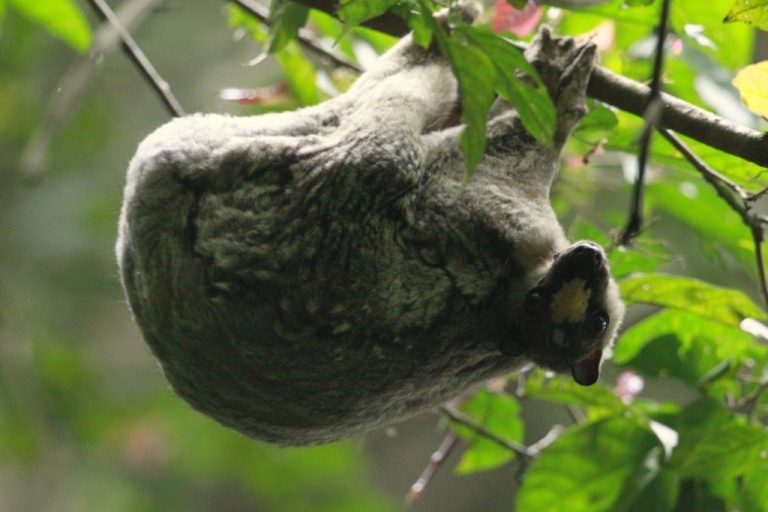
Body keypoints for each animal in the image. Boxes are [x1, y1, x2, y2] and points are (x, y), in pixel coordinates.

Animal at [116, 13, 624, 446]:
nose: (587, 257)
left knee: (377, 149)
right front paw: (555, 84)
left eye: (595, 320)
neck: (510, 304)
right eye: (546, 297)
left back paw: (437, 40)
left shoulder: (498, 221)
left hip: (283, 179)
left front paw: (555, 85)